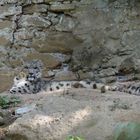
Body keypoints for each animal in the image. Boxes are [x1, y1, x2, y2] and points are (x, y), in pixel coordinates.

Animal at [9, 59, 140, 95]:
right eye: (26, 67)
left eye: (35, 67)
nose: (31, 73)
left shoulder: (27, 88)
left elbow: (16, 89)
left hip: (92, 83)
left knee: (108, 86)